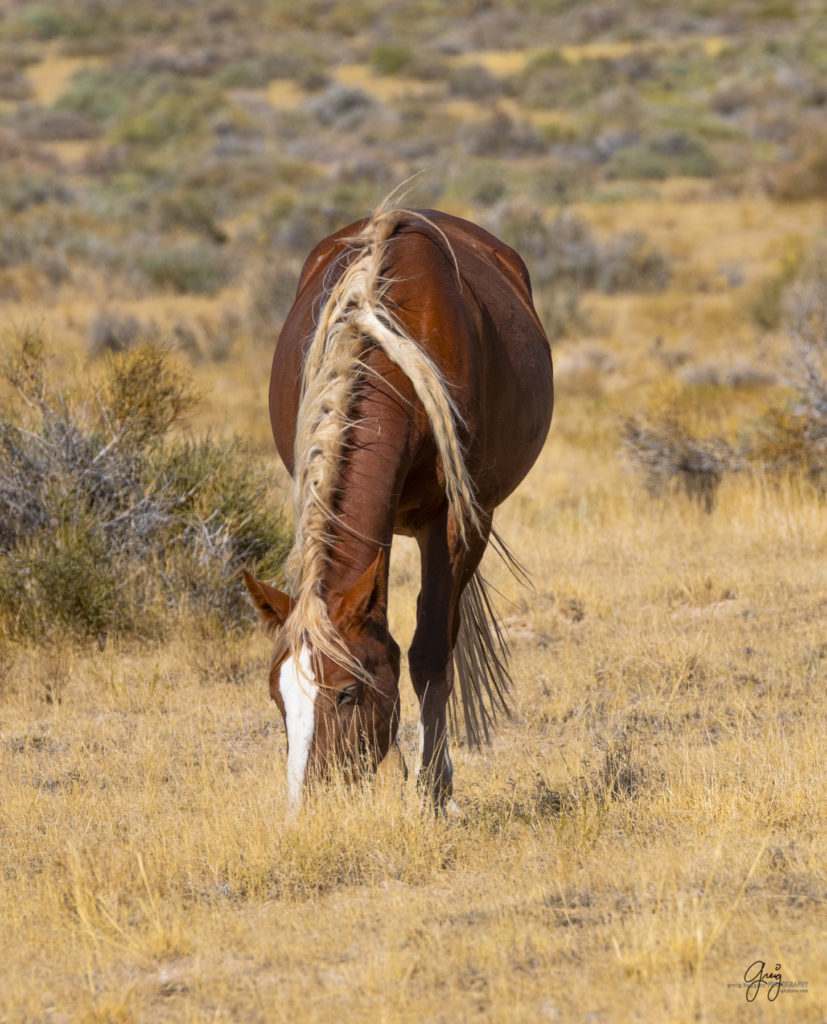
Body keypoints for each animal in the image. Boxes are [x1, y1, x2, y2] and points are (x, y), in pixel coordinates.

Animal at [245, 199, 556, 806]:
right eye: (278, 696)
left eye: (346, 693)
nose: (308, 807)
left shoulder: (454, 523)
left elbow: (430, 651)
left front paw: (434, 789)